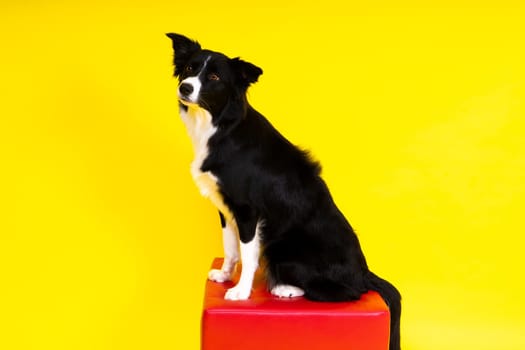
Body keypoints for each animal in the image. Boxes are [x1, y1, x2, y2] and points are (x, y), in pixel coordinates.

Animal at [167, 33, 402, 350]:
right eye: (189, 69)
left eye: (214, 77)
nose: (185, 87)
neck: (221, 126)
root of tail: (364, 273)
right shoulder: (225, 208)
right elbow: (230, 248)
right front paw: (226, 275)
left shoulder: (247, 210)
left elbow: (248, 252)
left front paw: (241, 292)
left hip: (282, 247)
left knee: (346, 292)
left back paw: (286, 288)